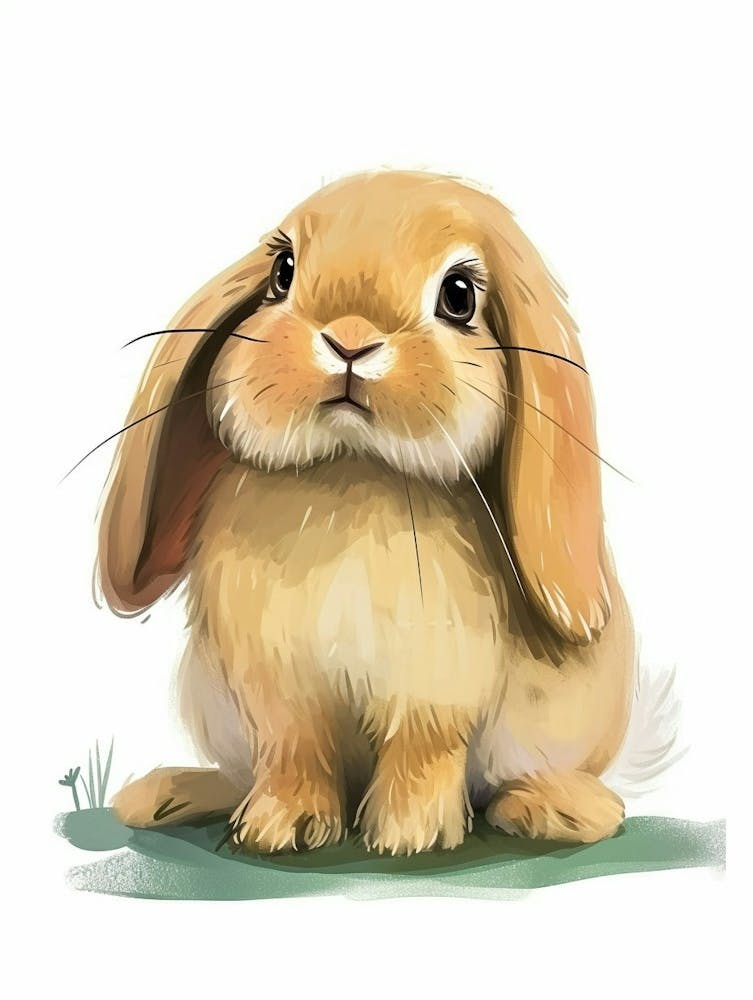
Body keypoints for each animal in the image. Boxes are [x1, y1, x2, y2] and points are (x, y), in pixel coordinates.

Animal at [101, 170, 635, 854]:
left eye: (459, 296)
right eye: (282, 271)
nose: (349, 340)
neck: (354, 472)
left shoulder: (436, 683)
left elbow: (423, 750)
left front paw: (411, 836)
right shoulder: (277, 686)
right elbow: (294, 750)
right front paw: (283, 827)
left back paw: (556, 810)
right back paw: (166, 795)